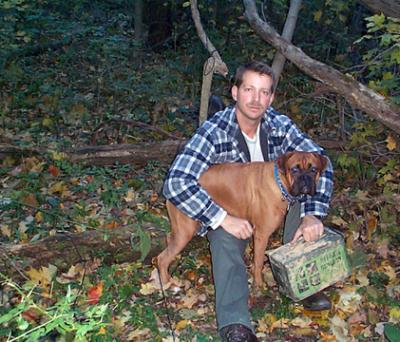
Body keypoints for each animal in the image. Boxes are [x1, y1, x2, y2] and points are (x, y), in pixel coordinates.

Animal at [156, 151, 328, 288]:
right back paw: (167, 284)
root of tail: (168, 190)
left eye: (313, 169)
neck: (280, 183)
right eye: (294, 169)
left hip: (180, 229)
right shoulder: (261, 234)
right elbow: (258, 262)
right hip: (186, 232)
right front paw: (258, 284)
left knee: (168, 239)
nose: (305, 178)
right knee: (162, 258)